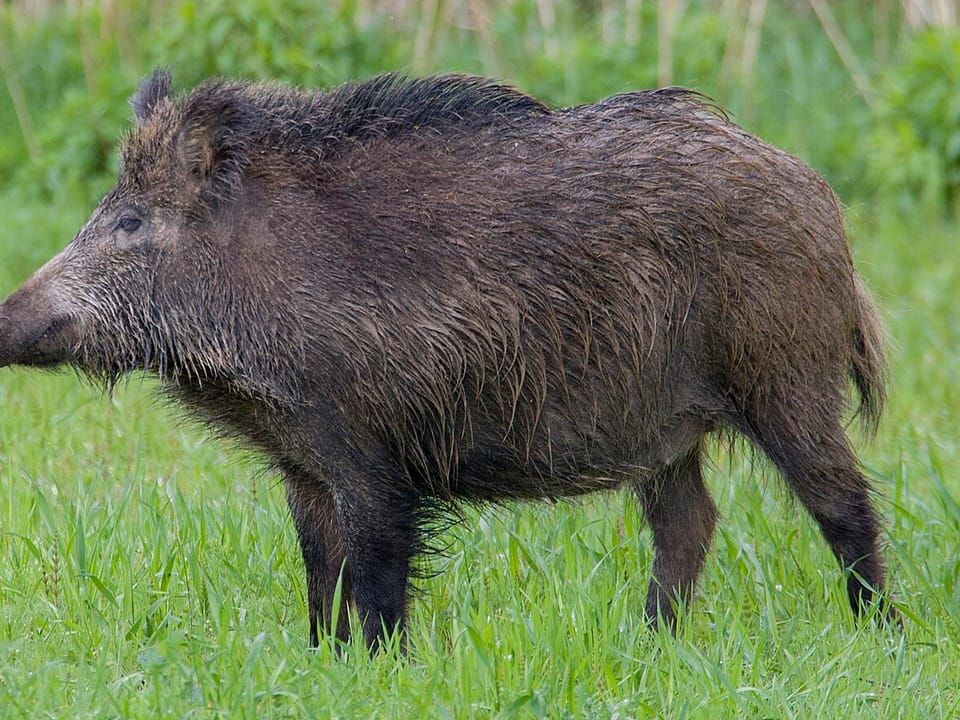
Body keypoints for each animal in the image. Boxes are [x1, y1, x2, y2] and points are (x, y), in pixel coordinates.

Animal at [0, 70, 893, 649]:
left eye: (131, 223)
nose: (6, 319)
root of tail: (815, 192)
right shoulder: (303, 461)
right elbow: (319, 572)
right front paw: (320, 661)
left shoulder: (373, 454)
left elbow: (376, 575)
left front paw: (380, 668)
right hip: (662, 426)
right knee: (690, 523)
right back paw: (649, 646)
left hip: (785, 374)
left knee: (842, 502)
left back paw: (881, 633)